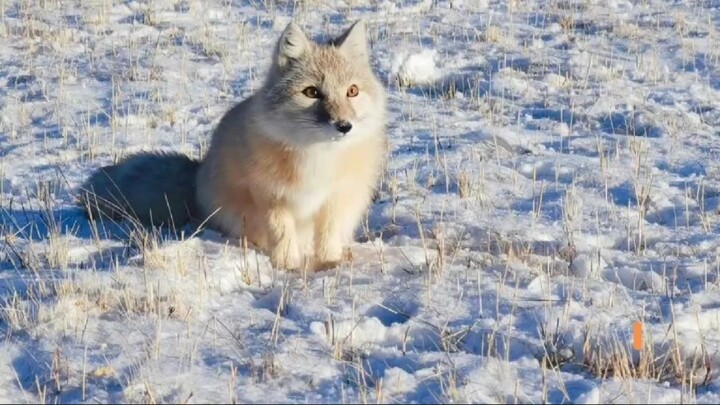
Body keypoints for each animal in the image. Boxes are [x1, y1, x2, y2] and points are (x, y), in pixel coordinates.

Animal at [78, 20, 389, 272]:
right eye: (311, 92)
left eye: (352, 91)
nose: (344, 126)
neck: (317, 157)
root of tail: (198, 175)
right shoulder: (271, 197)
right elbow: (282, 235)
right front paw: (287, 267)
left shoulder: (336, 200)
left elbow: (328, 237)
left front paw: (328, 265)